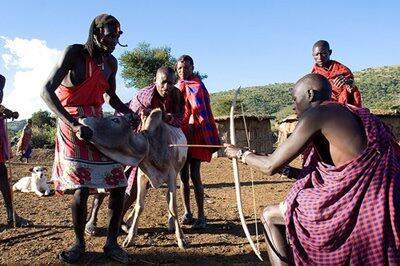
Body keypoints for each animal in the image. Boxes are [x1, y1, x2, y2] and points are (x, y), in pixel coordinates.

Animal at [80, 108, 190, 249]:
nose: (82, 116)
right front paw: (130, 237)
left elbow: (173, 206)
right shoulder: (141, 177)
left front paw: (181, 238)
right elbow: (139, 206)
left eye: (115, 120)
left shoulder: (171, 177)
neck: (150, 145)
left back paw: (170, 223)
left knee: (168, 199)